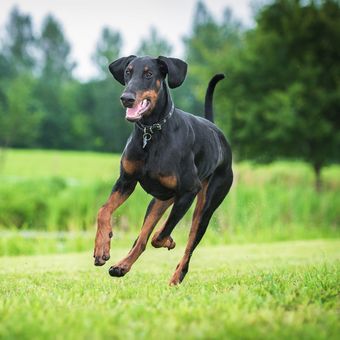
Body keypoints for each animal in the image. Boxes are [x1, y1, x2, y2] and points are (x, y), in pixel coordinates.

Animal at [94, 55, 232, 284]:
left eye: (149, 74)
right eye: (128, 72)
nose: (126, 98)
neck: (151, 133)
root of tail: (217, 132)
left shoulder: (189, 191)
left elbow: (160, 235)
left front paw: (169, 241)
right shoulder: (126, 181)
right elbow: (103, 211)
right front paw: (101, 248)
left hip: (206, 205)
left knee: (188, 244)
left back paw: (176, 277)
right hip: (160, 201)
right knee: (141, 238)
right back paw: (122, 266)